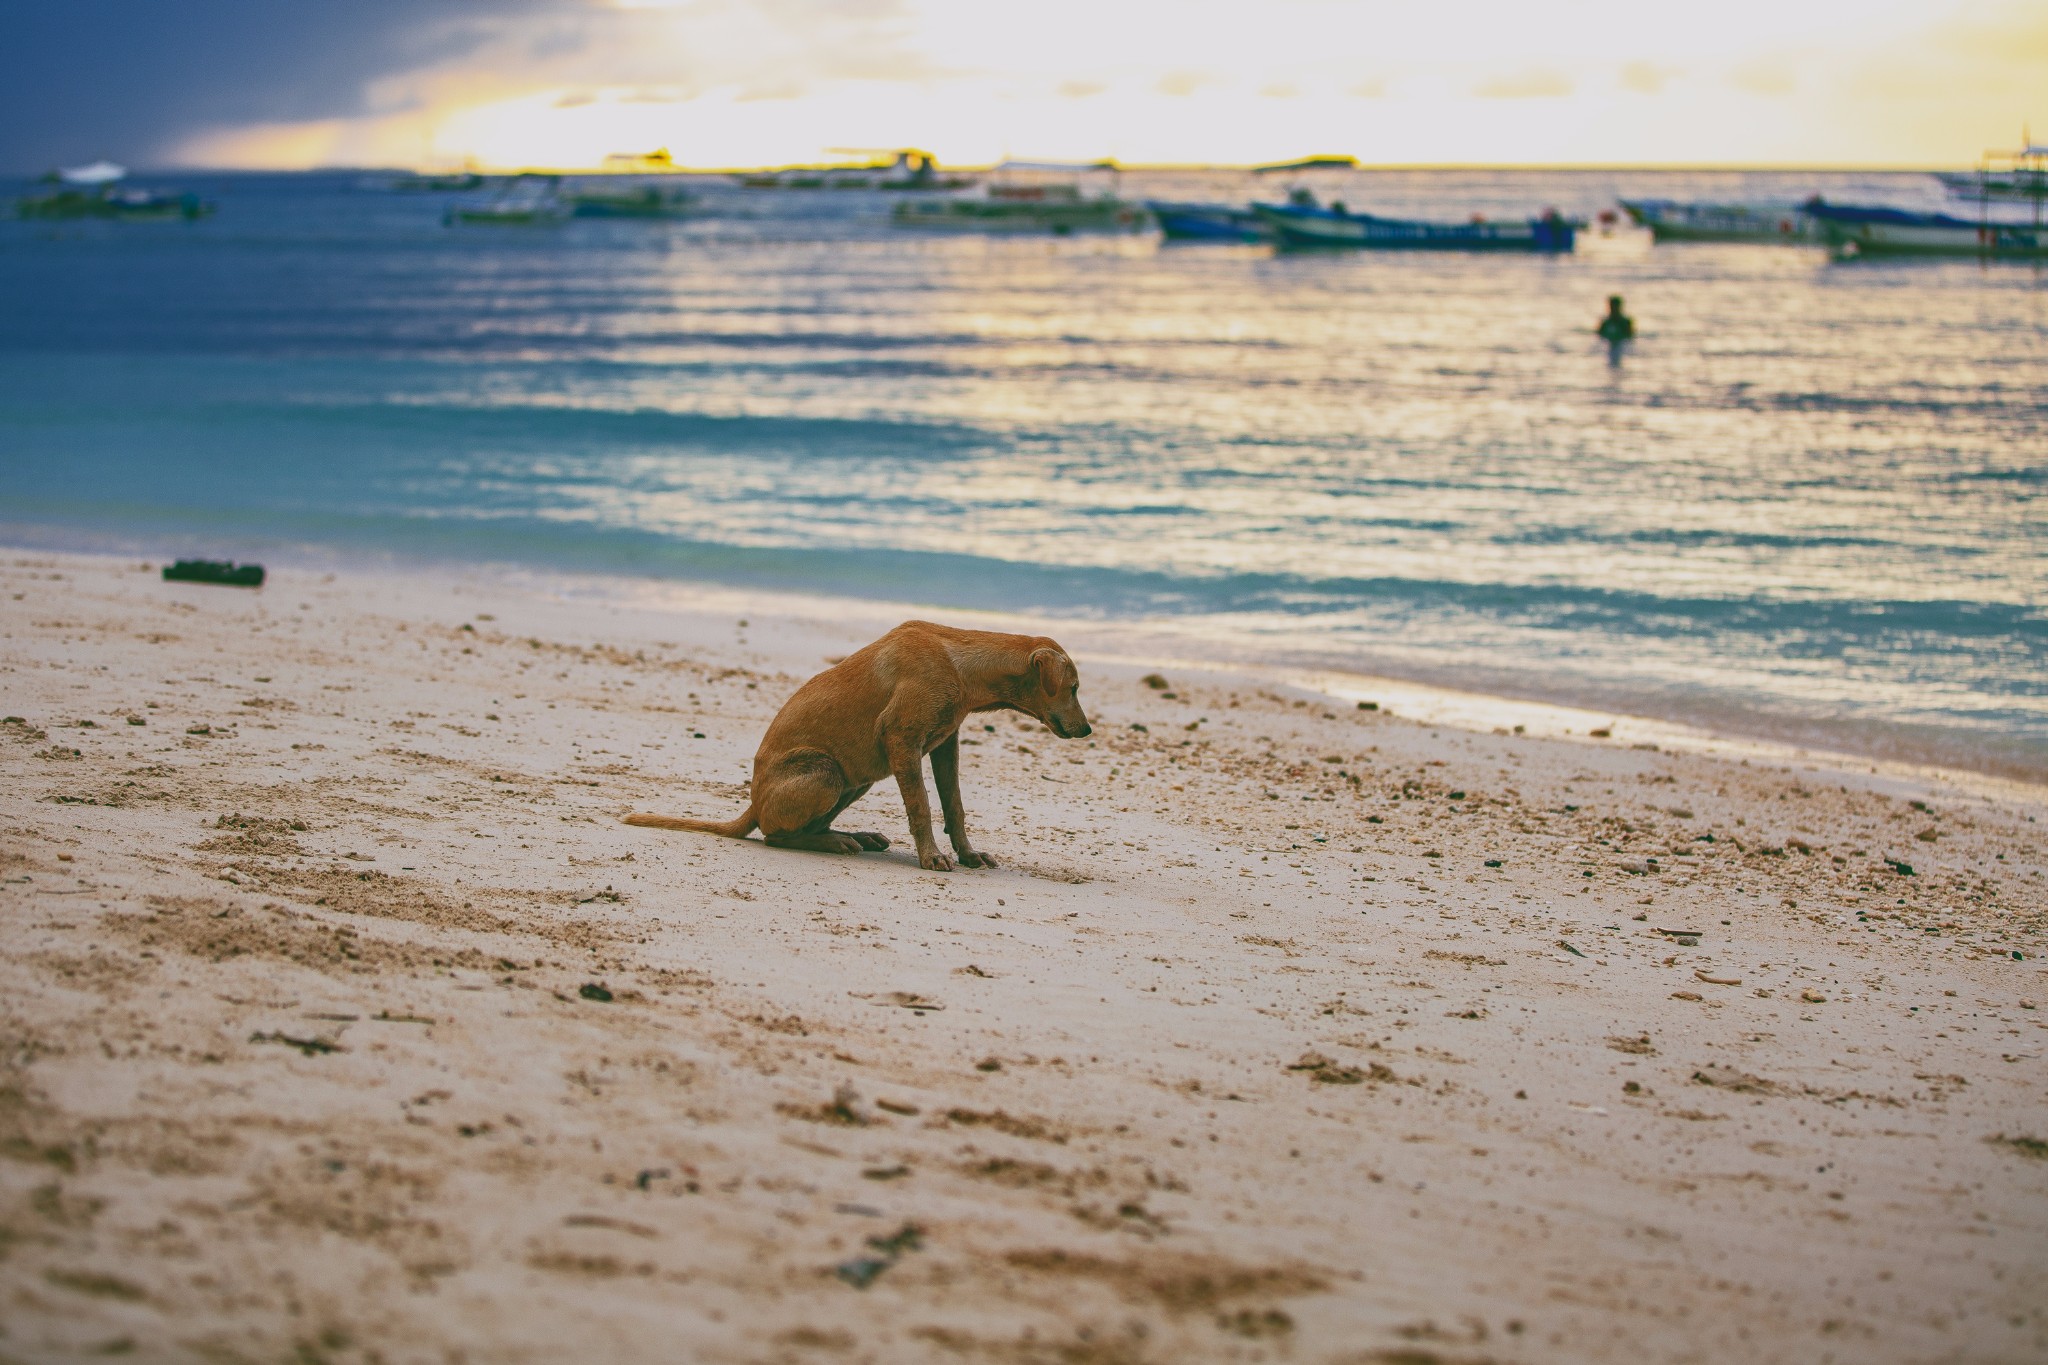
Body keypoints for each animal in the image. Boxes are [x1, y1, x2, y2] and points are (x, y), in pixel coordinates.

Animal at [626, 618, 1089, 863]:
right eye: (1073, 688)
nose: (1087, 731)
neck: (958, 662)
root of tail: (753, 804)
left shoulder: (945, 745)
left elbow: (954, 807)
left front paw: (967, 853)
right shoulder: (902, 740)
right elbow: (921, 807)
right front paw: (930, 856)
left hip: (856, 778)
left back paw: (853, 835)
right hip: (826, 771)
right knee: (777, 836)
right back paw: (833, 842)